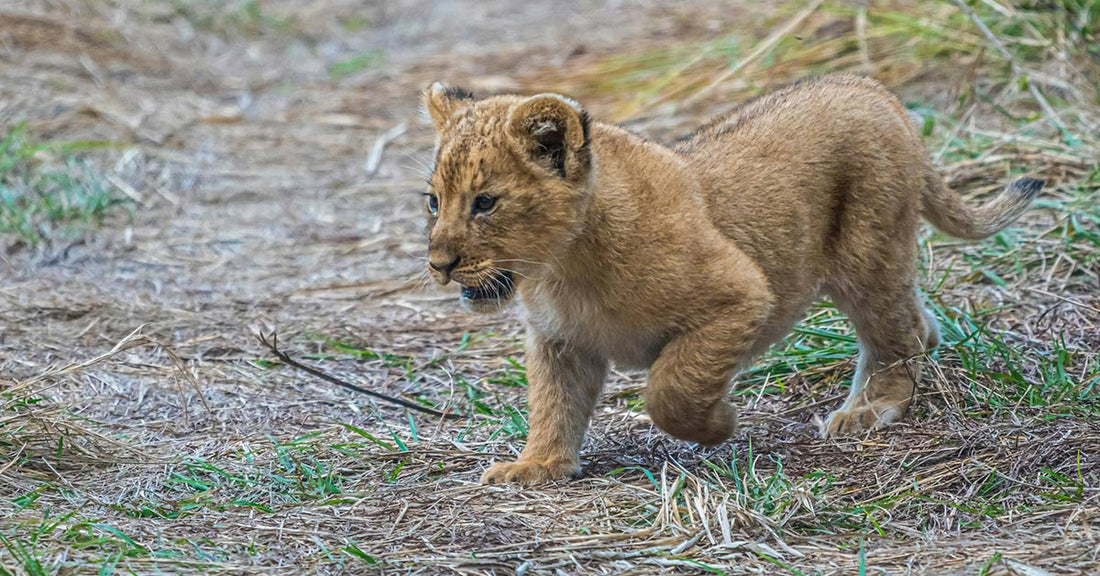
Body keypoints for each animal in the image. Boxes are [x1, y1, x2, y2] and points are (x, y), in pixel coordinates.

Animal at [420, 75, 1041, 484]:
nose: (438, 264)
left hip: (868, 251)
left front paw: (720, 425)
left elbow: (670, 389)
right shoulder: (560, 340)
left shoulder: (739, 293)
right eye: (433, 201)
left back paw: (868, 408)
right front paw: (537, 467)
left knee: (894, 332)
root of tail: (872, 89)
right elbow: (553, 403)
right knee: (916, 321)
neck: (561, 267)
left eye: (485, 202)